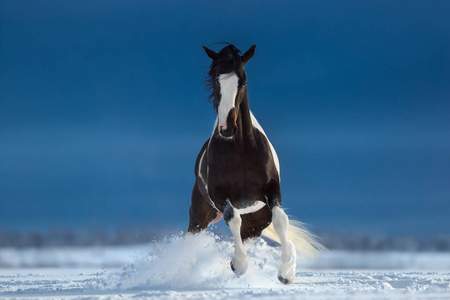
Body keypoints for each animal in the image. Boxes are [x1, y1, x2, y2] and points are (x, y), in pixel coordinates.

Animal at [187, 42, 324, 284]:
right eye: (216, 80)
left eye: (243, 80)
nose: (227, 129)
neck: (241, 152)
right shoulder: (219, 194)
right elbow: (232, 218)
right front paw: (239, 265)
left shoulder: (272, 190)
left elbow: (281, 220)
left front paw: (286, 273)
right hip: (200, 216)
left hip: (256, 221)